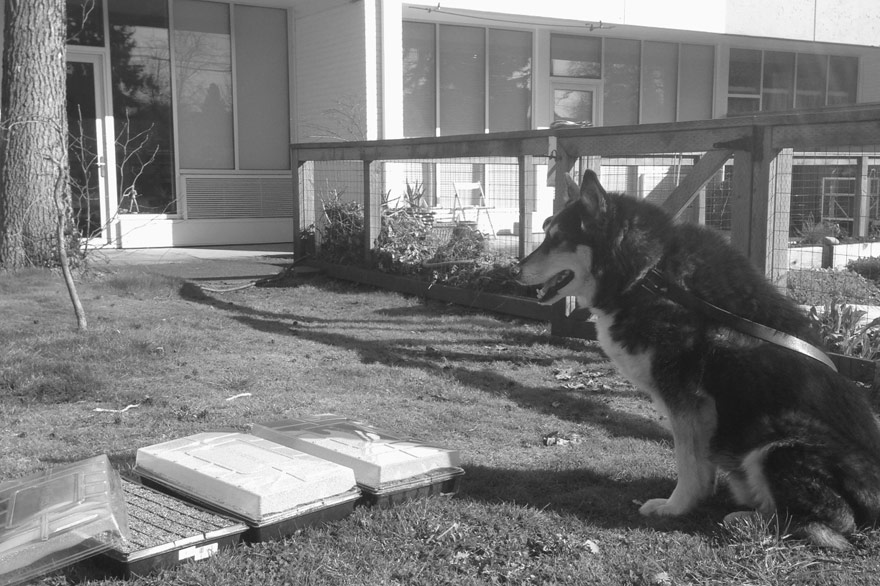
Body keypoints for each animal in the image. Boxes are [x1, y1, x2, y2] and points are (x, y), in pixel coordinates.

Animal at [512, 169, 880, 548]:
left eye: (557, 239)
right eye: (546, 232)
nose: (514, 269)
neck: (650, 275)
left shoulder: (686, 401)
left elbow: (688, 462)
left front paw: (675, 506)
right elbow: (701, 464)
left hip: (778, 445)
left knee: (830, 525)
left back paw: (746, 519)